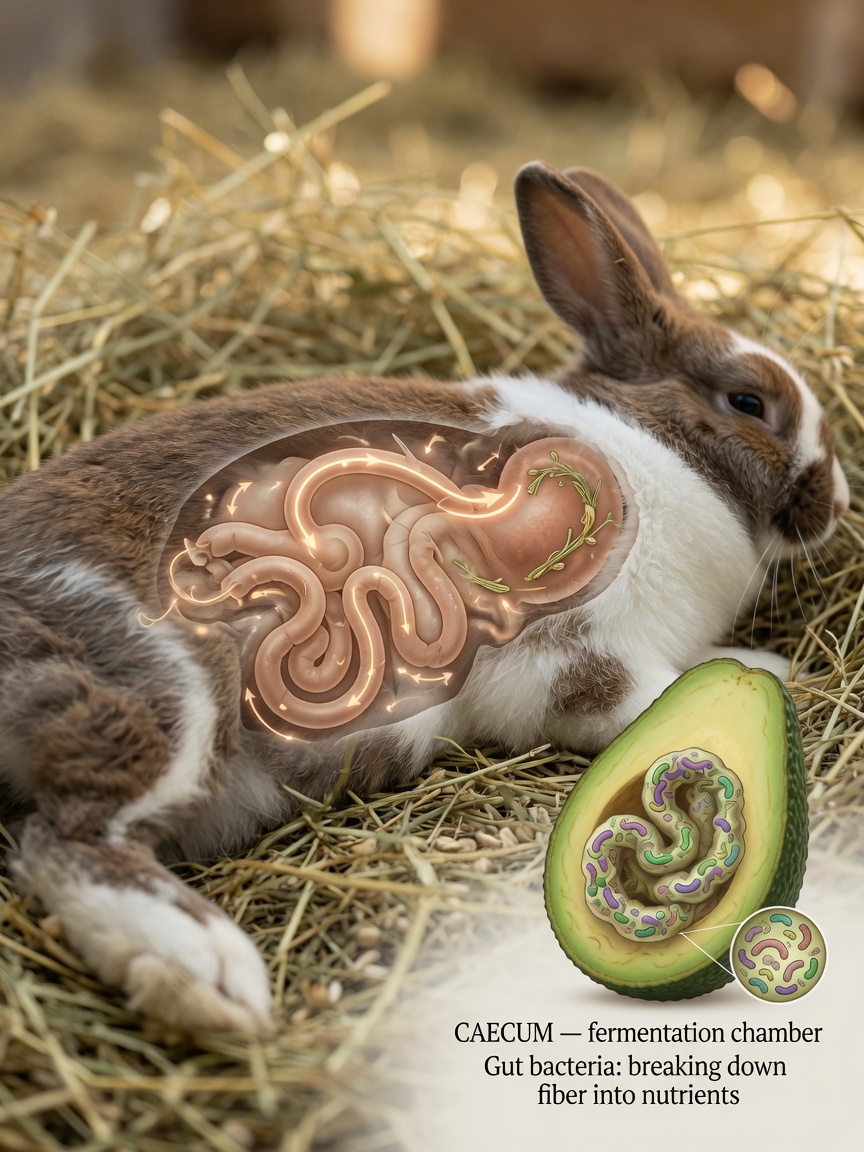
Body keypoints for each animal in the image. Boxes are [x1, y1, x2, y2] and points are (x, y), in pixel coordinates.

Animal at [0, 162, 849, 1033]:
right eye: (747, 403)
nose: (836, 502)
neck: (653, 449)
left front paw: (767, 665)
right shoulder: (571, 655)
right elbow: (647, 695)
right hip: (165, 684)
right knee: (67, 836)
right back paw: (209, 976)